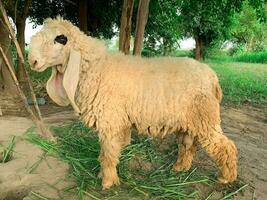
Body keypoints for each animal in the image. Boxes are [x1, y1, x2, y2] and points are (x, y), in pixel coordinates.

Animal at [28, 16, 239, 189]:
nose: (32, 62)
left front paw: (107, 182)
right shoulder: (118, 122)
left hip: (206, 118)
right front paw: (104, 175)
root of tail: (213, 77)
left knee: (226, 146)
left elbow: (108, 153)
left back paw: (226, 177)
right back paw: (180, 168)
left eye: (60, 39)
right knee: (188, 145)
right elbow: (110, 152)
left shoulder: (110, 121)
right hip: (190, 121)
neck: (96, 69)